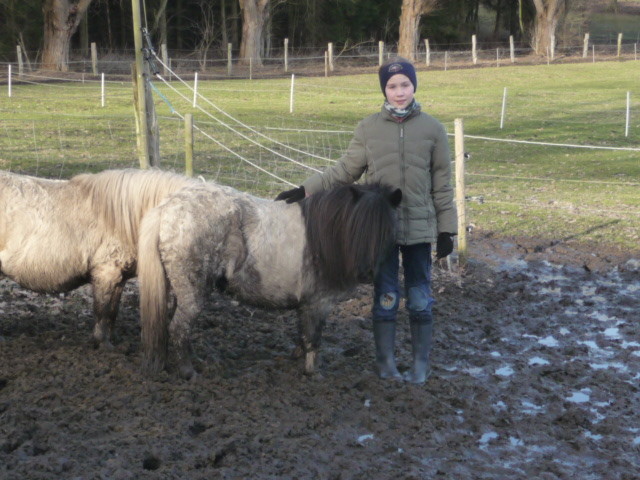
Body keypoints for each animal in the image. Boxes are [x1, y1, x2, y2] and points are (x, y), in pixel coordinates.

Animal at [0, 169, 196, 348]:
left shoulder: (119, 278)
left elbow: (113, 311)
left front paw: (112, 339)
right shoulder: (106, 273)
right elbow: (102, 310)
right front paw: (102, 343)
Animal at [138, 180, 402, 378]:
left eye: (386, 229)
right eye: (356, 227)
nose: (366, 273)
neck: (326, 236)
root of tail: (167, 207)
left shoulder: (306, 304)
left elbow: (303, 333)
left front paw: (297, 357)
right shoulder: (319, 303)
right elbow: (313, 338)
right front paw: (312, 372)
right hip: (192, 292)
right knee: (179, 327)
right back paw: (187, 371)